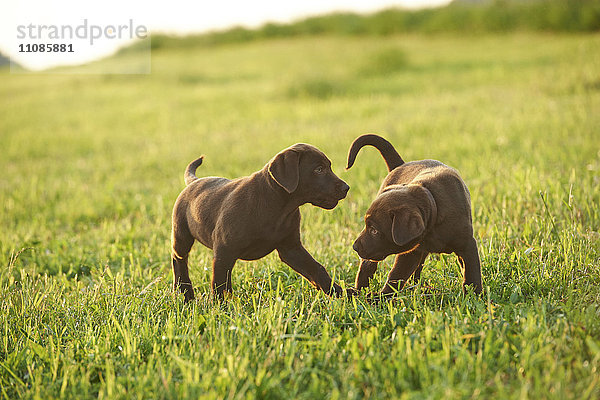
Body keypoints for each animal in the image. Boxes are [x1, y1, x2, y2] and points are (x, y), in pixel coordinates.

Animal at [171, 142, 350, 302]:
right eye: (319, 169)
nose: (346, 188)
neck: (279, 207)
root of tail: (194, 181)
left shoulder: (291, 248)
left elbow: (317, 269)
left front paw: (342, 293)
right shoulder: (224, 250)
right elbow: (220, 283)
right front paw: (219, 308)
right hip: (181, 235)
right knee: (179, 259)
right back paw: (185, 293)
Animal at [346, 134, 482, 296]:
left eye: (375, 230)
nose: (355, 247)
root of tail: (400, 164)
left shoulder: (467, 244)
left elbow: (472, 272)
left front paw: (475, 295)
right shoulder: (411, 251)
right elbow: (397, 275)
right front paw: (381, 297)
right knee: (367, 266)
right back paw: (358, 291)